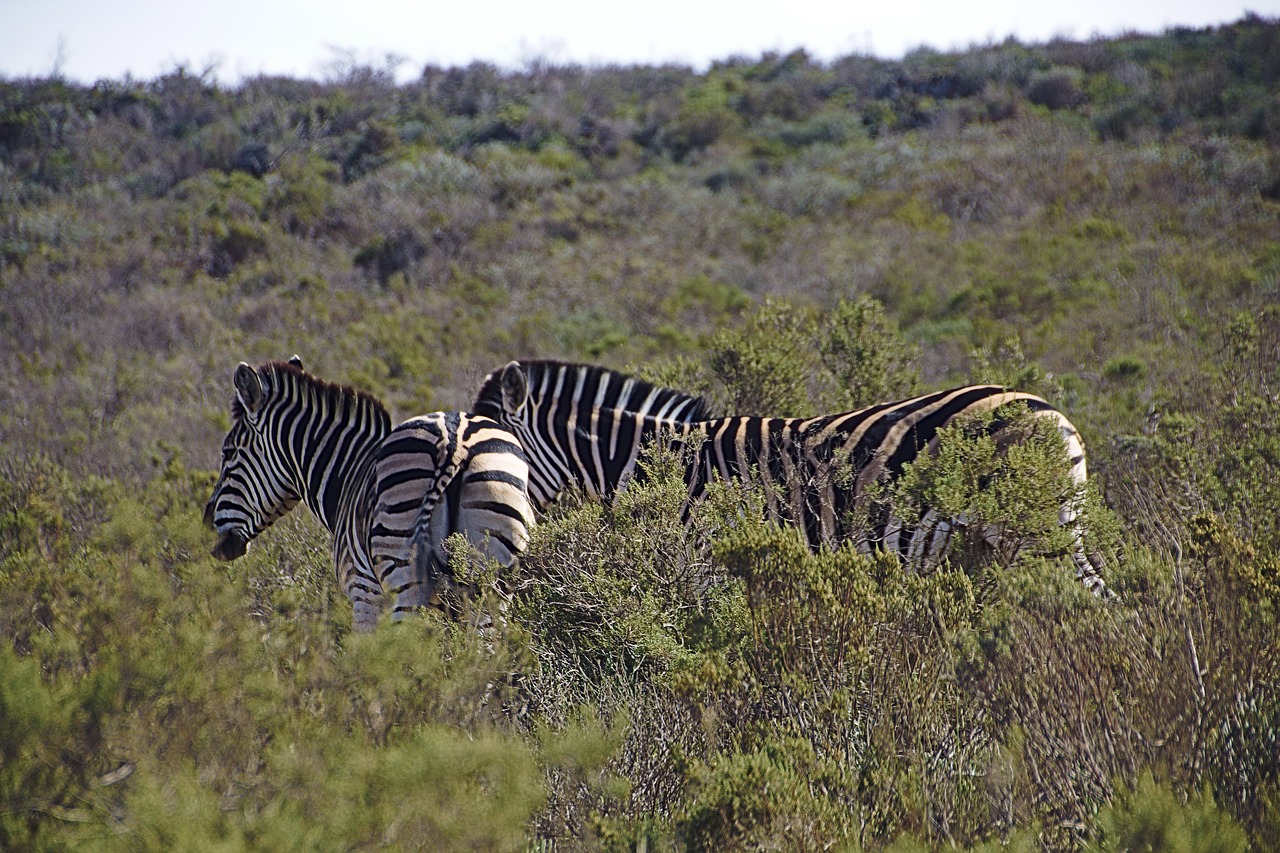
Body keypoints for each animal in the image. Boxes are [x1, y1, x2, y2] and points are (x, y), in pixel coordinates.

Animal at [204, 356, 535, 627]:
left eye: (228, 453)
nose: (206, 519)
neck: (348, 472)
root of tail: (454, 444)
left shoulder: (363, 590)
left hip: (406, 584)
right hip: (493, 578)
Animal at [476, 356, 1105, 591]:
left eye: (493, 456)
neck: (666, 468)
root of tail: (1052, 413)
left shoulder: (710, 564)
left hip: (1029, 533)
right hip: (1042, 533)